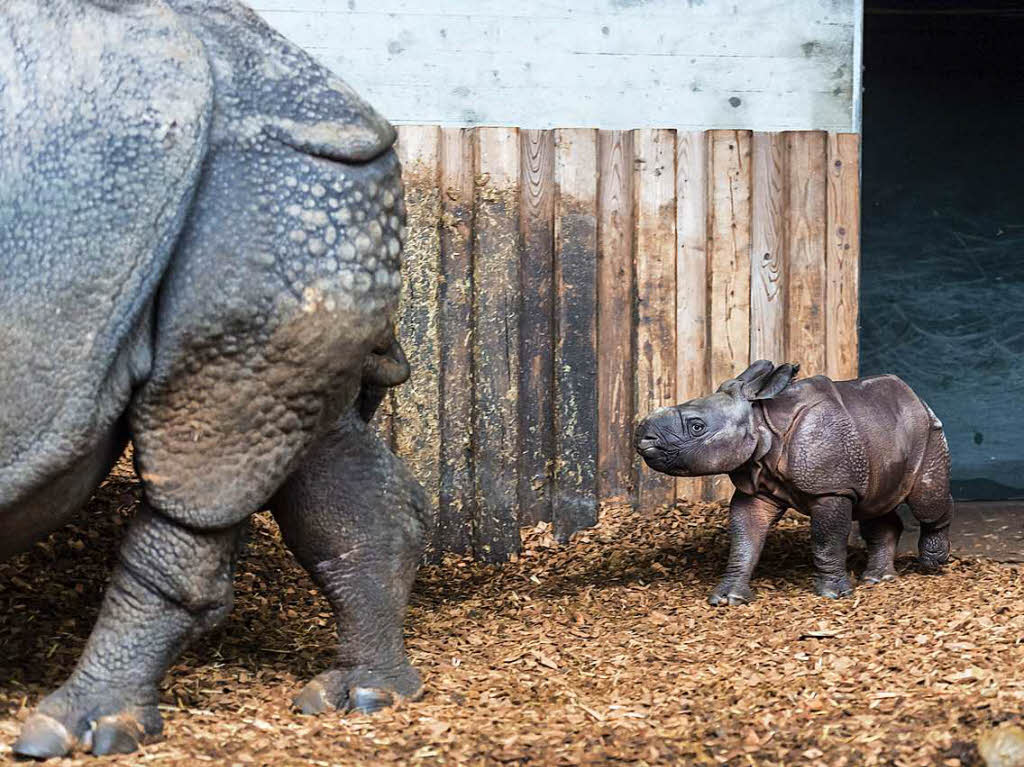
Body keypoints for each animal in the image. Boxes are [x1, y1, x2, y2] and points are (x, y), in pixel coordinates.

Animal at [634, 360, 954, 606]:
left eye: (697, 426)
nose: (642, 436)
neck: (762, 422)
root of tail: (916, 396)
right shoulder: (757, 484)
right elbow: (744, 538)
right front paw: (728, 598)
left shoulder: (831, 488)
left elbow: (826, 540)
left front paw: (833, 595)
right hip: (879, 434)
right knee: (875, 505)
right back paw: (878, 579)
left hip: (927, 431)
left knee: (926, 501)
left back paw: (932, 564)